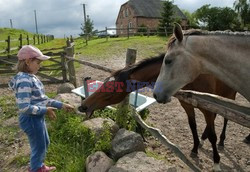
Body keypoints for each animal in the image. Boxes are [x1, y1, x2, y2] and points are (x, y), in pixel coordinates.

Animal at [80, 53, 246, 171]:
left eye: (113, 88)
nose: (84, 106)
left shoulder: (207, 108)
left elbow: (213, 135)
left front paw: (216, 163)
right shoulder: (188, 105)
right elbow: (193, 127)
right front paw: (195, 148)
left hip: (229, 97)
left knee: (226, 119)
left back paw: (221, 141)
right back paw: (203, 140)